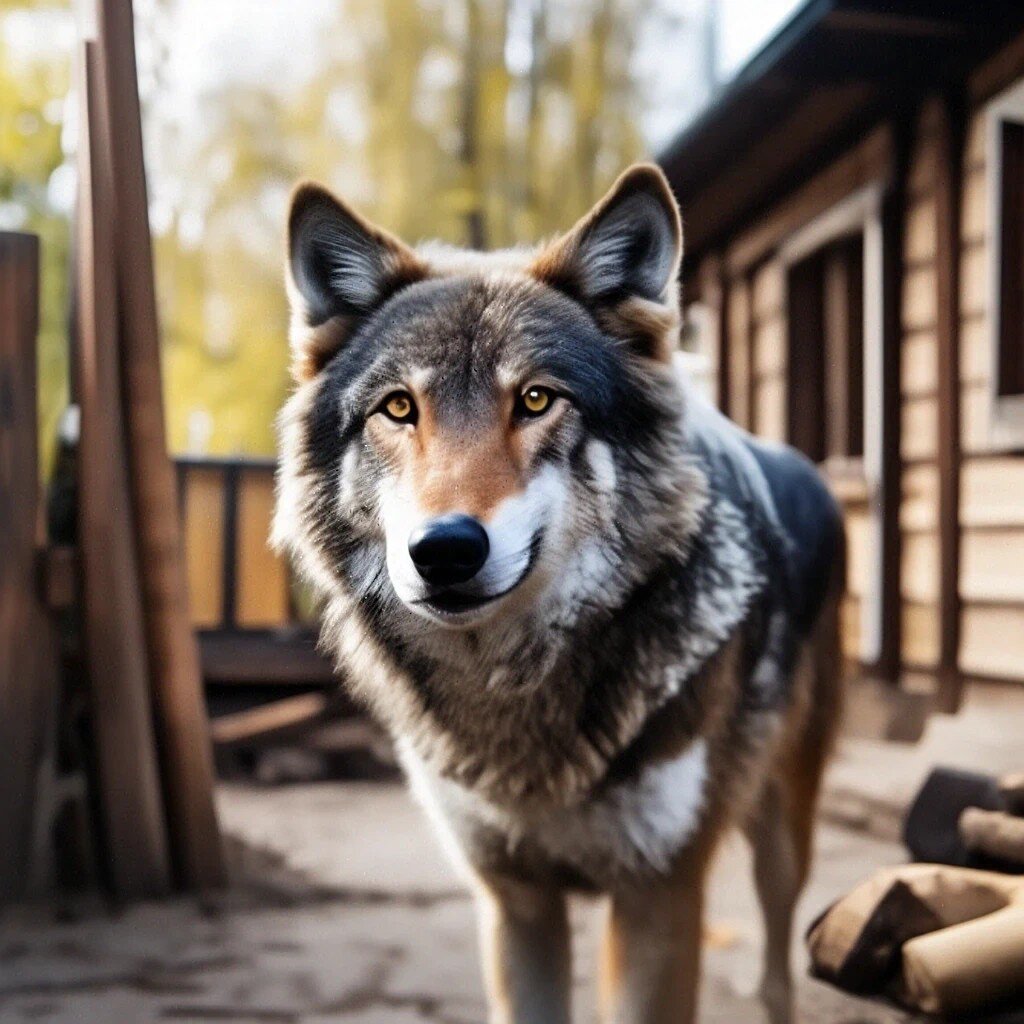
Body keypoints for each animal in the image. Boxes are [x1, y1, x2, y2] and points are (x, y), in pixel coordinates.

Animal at [272, 163, 839, 1019]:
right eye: (399, 408)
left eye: (537, 399)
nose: (443, 550)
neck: (517, 704)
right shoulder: (515, 903)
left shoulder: (659, 898)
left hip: (780, 833)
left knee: (779, 960)